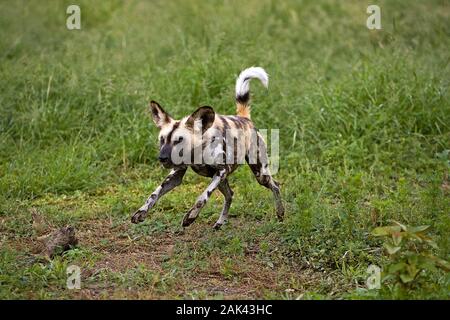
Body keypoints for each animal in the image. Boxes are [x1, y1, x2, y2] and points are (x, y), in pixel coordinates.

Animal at [131, 66, 284, 229]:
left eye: (179, 140)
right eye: (162, 139)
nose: (162, 158)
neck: (195, 154)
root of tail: (244, 119)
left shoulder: (222, 171)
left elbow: (202, 197)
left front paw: (190, 217)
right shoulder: (177, 174)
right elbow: (154, 194)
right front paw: (141, 212)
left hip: (259, 174)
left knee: (275, 186)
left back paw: (280, 214)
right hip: (222, 179)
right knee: (230, 194)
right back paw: (220, 222)